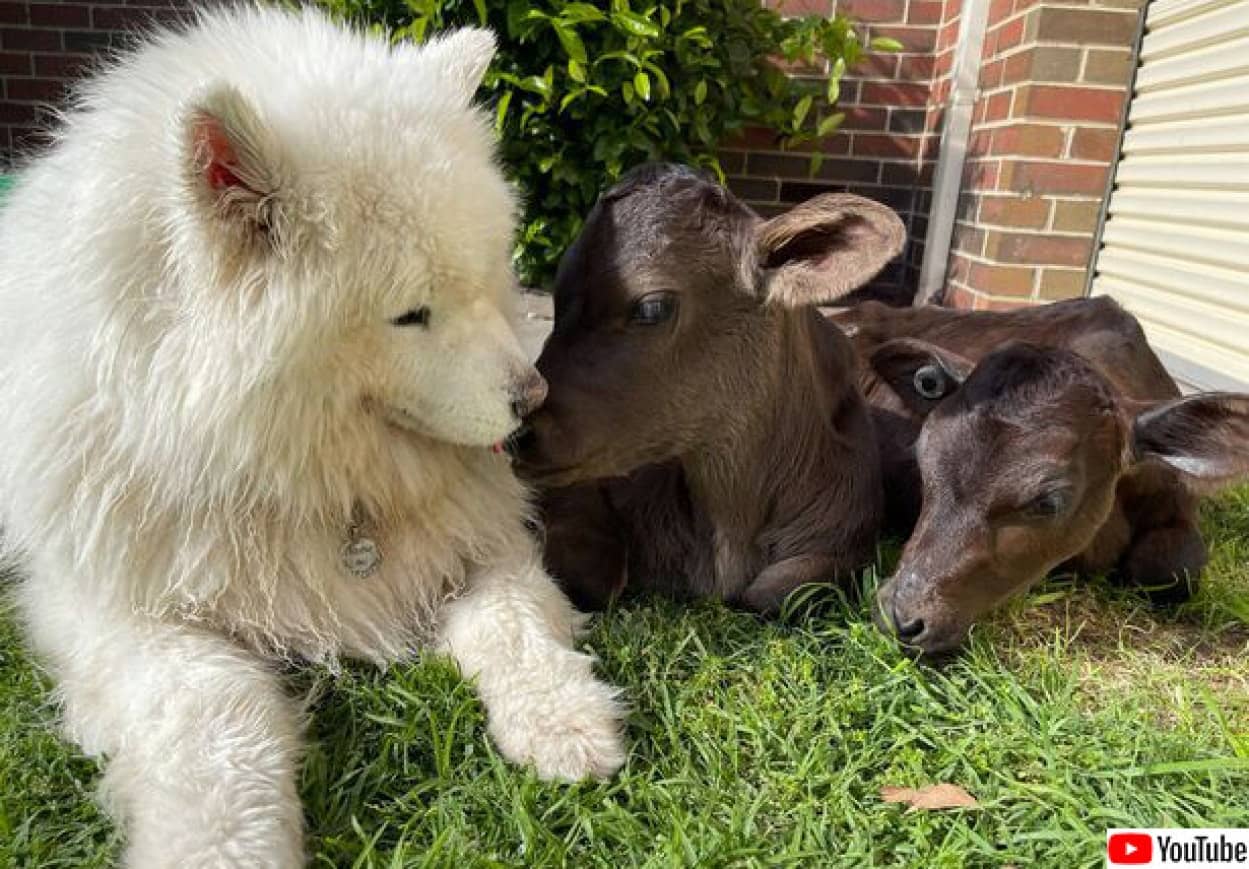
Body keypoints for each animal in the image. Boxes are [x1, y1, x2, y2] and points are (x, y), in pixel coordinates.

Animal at [0, 5, 624, 864]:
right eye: (409, 313)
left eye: (481, 278)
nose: (532, 401)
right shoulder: (122, 610)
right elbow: (217, 714)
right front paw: (219, 845)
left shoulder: (485, 542)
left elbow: (513, 620)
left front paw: (566, 720)